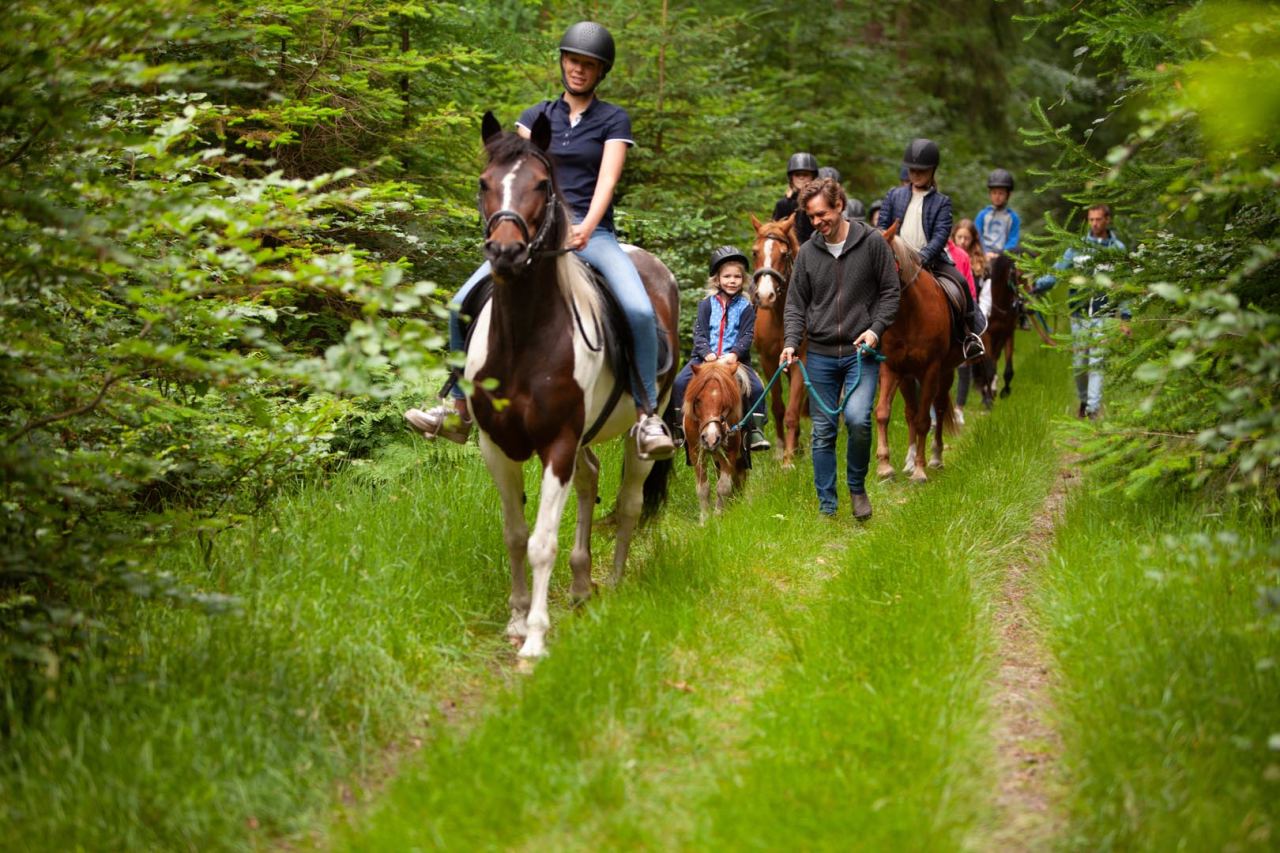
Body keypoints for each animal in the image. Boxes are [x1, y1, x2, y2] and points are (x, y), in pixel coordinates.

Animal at [463, 111, 680, 655]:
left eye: (542, 184)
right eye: (484, 182)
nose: (505, 251)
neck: (524, 339)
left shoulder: (557, 444)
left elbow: (542, 542)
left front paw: (535, 639)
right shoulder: (496, 444)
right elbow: (515, 534)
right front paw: (517, 619)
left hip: (638, 434)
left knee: (628, 504)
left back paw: (617, 583)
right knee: (590, 479)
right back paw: (582, 586)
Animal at [686, 358, 747, 517]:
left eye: (726, 402)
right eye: (698, 400)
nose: (710, 439)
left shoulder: (731, 451)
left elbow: (724, 486)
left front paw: (719, 515)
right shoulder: (695, 452)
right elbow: (703, 488)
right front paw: (705, 518)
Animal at [875, 222, 962, 481]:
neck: (908, 315)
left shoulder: (932, 369)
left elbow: (925, 420)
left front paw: (921, 472)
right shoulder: (891, 367)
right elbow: (883, 413)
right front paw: (885, 467)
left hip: (944, 373)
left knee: (939, 409)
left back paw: (935, 458)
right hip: (907, 376)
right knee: (910, 412)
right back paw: (909, 461)